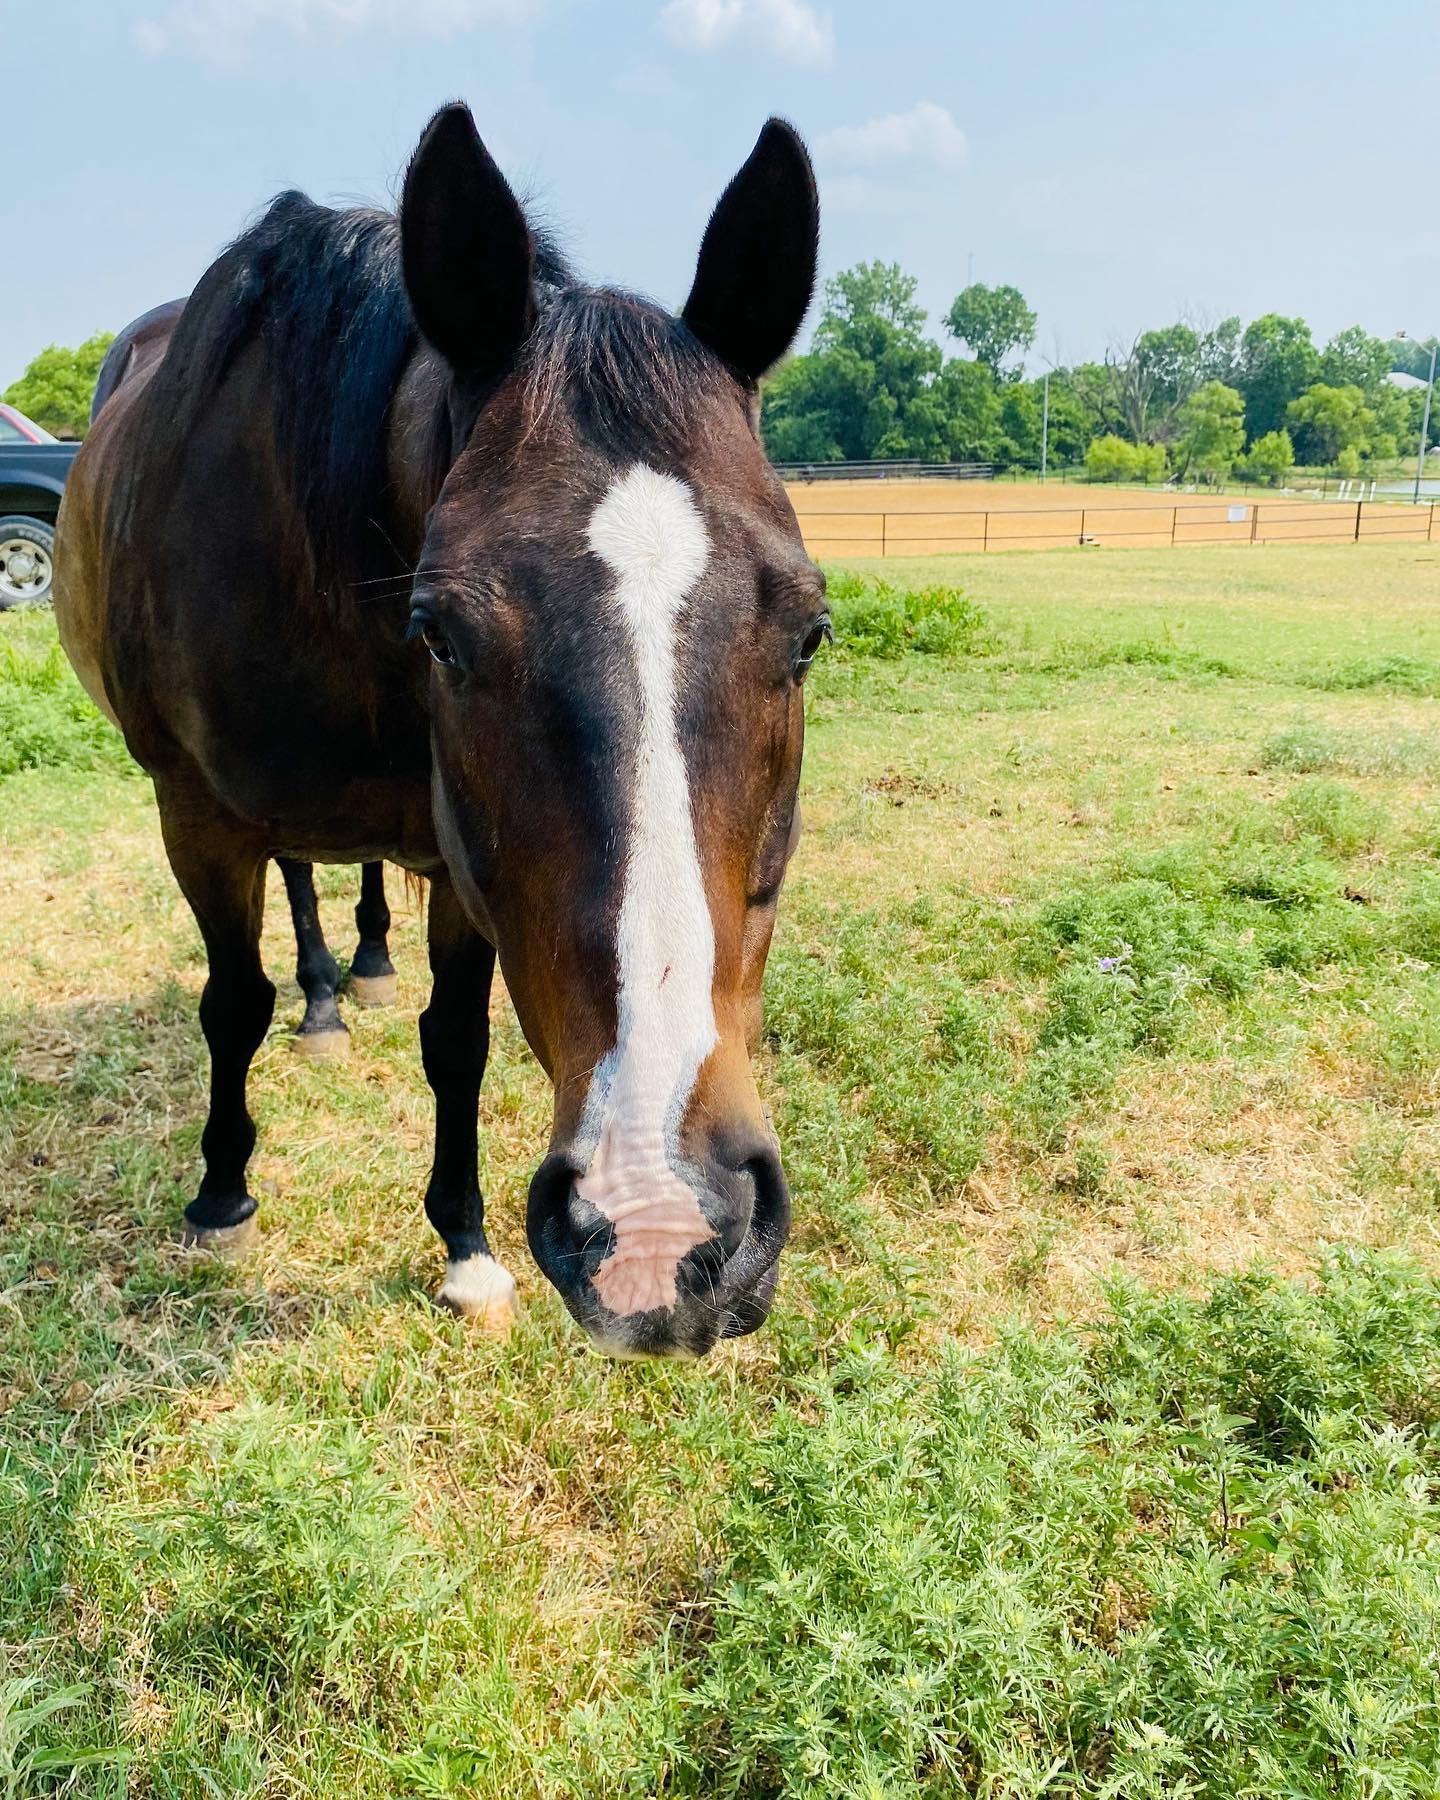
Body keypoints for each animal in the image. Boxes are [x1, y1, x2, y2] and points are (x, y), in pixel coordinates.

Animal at [54, 103, 824, 1360]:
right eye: (443, 634)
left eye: (808, 631)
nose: (661, 1229)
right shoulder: (193, 810)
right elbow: (233, 1001)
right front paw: (221, 1196)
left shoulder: (454, 850)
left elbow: (455, 1036)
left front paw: (464, 1244)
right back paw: (321, 998)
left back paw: (355, 976)